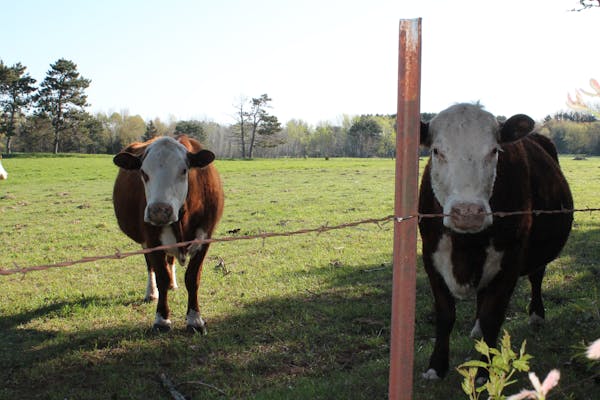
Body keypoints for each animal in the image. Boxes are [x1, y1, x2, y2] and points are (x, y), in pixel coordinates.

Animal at [112, 136, 223, 332]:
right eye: (143, 172)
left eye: (184, 170)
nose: (159, 211)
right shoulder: (152, 241)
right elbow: (161, 276)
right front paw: (161, 319)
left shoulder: (205, 239)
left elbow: (192, 278)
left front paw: (195, 319)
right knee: (151, 267)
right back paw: (151, 292)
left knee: (170, 260)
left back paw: (173, 283)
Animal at [414, 102, 576, 378]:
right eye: (436, 151)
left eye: (494, 151)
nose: (468, 211)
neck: (466, 245)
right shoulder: (431, 256)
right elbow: (445, 315)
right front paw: (436, 366)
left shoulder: (511, 258)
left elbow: (493, 315)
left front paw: (484, 372)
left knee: (536, 276)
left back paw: (536, 315)